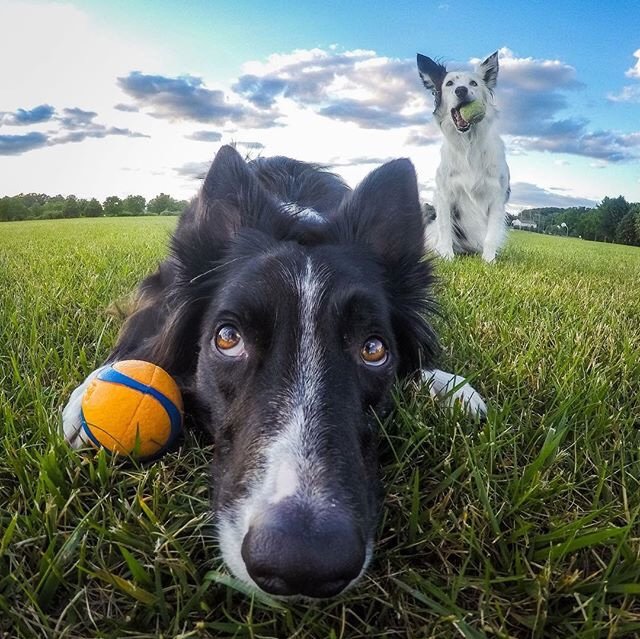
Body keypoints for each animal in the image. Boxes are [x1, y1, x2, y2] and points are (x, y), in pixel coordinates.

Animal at [63, 146, 484, 600]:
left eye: (373, 350)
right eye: (228, 338)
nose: (303, 562)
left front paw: (451, 387)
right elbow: (140, 348)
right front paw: (87, 400)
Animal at [416, 48, 510, 262]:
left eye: (473, 83)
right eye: (450, 83)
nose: (461, 90)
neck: (469, 145)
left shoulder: (497, 196)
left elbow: (491, 234)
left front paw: (489, 261)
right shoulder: (444, 194)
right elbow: (445, 228)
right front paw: (447, 257)